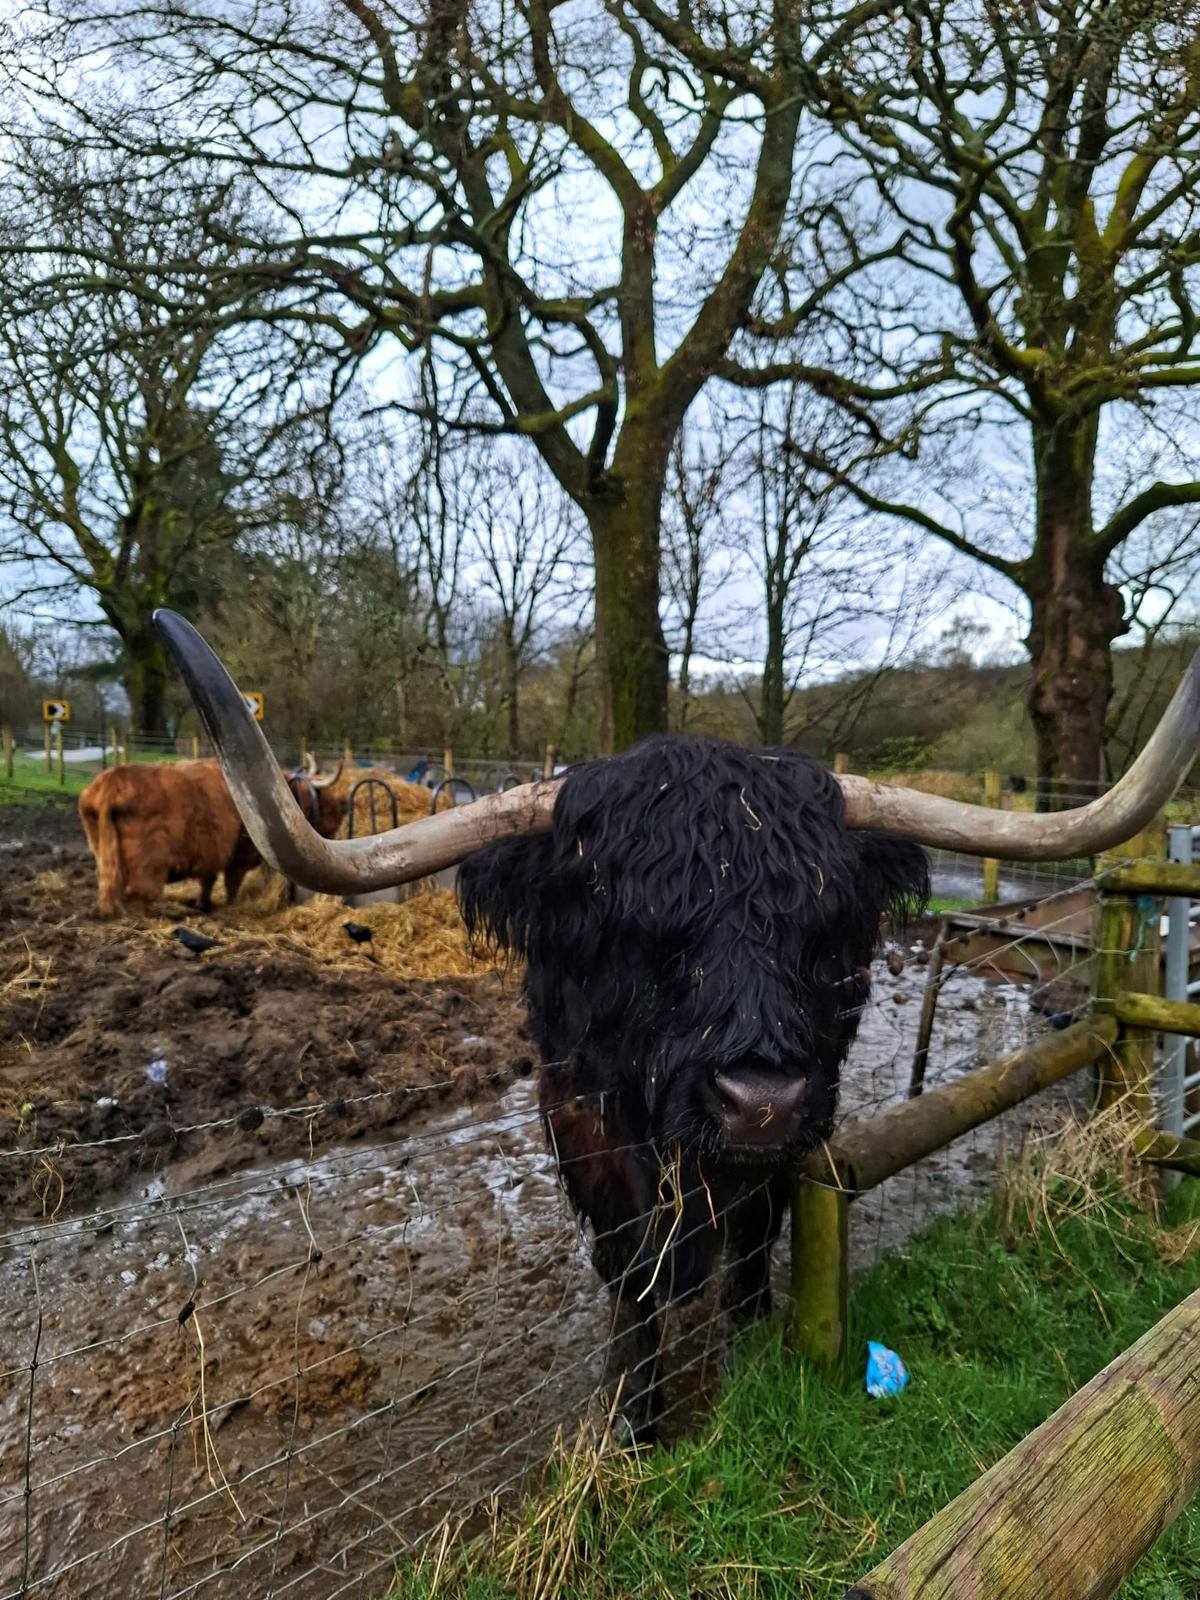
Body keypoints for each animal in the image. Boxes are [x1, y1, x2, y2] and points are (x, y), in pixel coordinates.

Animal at [79, 756, 343, 915]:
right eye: (317, 797)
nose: (336, 823)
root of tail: (114, 779)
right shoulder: (239, 855)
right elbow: (231, 884)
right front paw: (230, 906)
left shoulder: (209, 852)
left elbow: (207, 881)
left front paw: (203, 904)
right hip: (147, 868)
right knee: (139, 897)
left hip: (103, 855)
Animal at [151, 608, 1200, 1444]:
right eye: (633, 924)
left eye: (822, 925)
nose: (759, 1099)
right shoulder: (585, 1127)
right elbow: (634, 1277)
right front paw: (635, 1419)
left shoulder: (795, 1128)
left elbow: (755, 1228)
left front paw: (750, 1328)